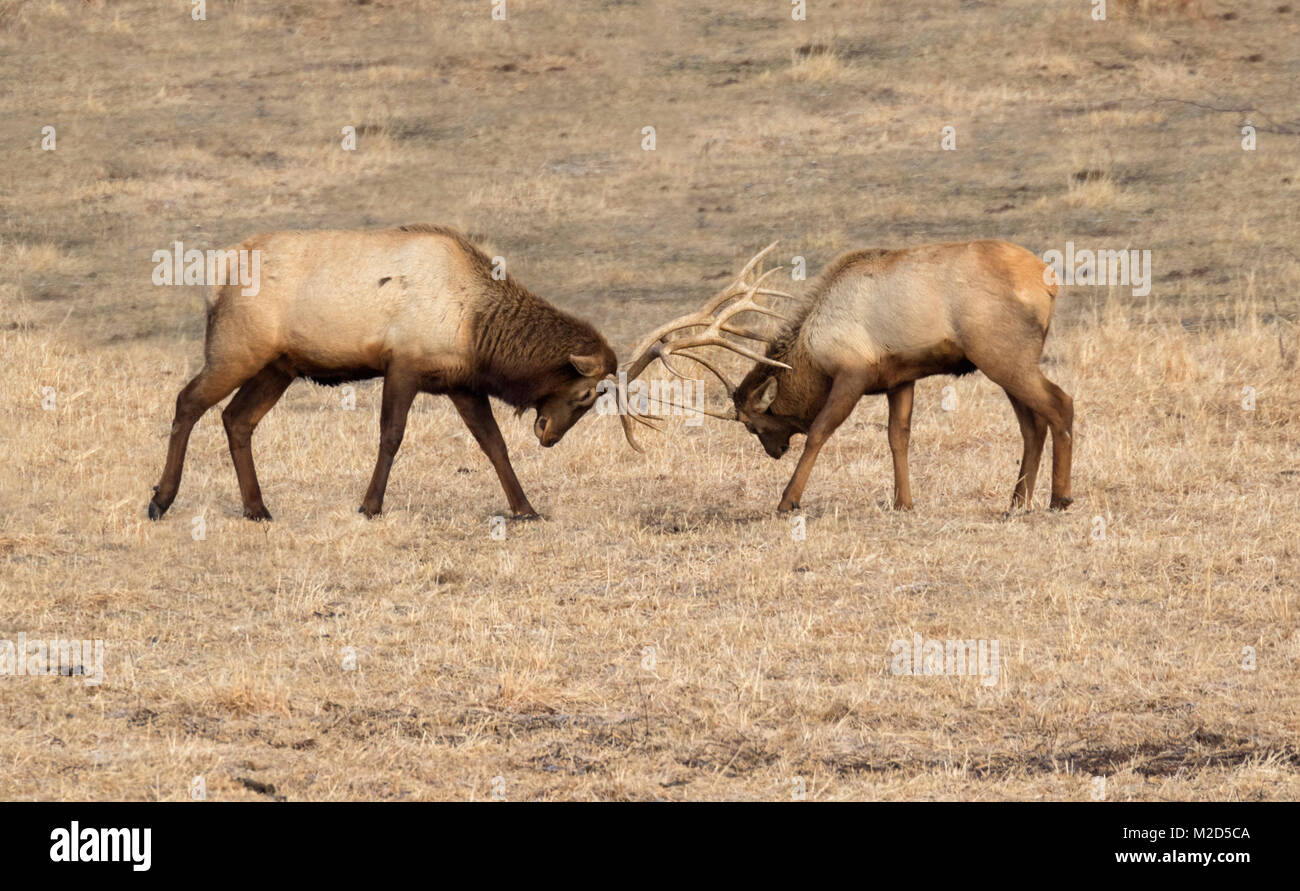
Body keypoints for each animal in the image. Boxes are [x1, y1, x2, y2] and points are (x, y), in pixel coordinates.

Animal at [147, 224, 617, 523]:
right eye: (585, 395)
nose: (549, 435)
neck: (477, 328)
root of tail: (216, 277)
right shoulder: (403, 365)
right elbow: (391, 435)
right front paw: (370, 505)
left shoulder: (461, 384)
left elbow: (493, 444)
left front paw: (526, 509)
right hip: (235, 350)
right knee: (187, 401)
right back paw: (160, 500)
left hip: (277, 367)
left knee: (236, 419)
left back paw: (257, 509)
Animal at [618, 240, 1073, 514]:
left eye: (752, 424)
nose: (773, 452)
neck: (812, 356)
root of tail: (1049, 282)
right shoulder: (899, 377)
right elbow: (898, 437)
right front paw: (903, 502)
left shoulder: (853, 373)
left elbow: (820, 431)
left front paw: (788, 500)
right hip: (1003, 360)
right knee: (1032, 425)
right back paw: (1017, 501)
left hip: (1003, 354)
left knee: (1060, 404)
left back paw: (1060, 496)